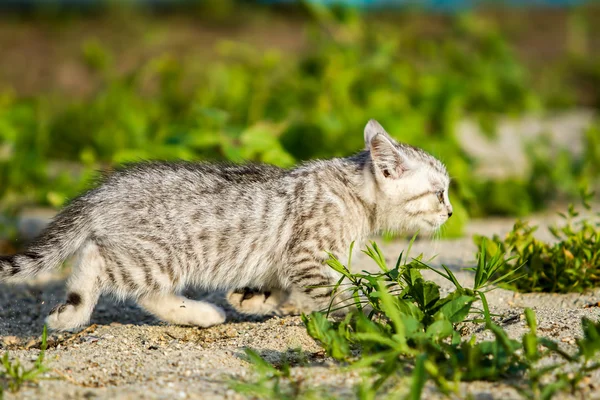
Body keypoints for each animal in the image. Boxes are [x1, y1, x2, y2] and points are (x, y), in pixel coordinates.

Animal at [0, 119, 450, 332]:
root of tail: (104, 190)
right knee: (97, 258)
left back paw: (202, 314)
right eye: (440, 193)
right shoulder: (308, 255)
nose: (448, 213)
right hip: (161, 254)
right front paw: (369, 317)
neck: (353, 193)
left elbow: (277, 283)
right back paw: (72, 312)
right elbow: (331, 292)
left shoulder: (287, 257)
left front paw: (250, 298)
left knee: (149, 293)